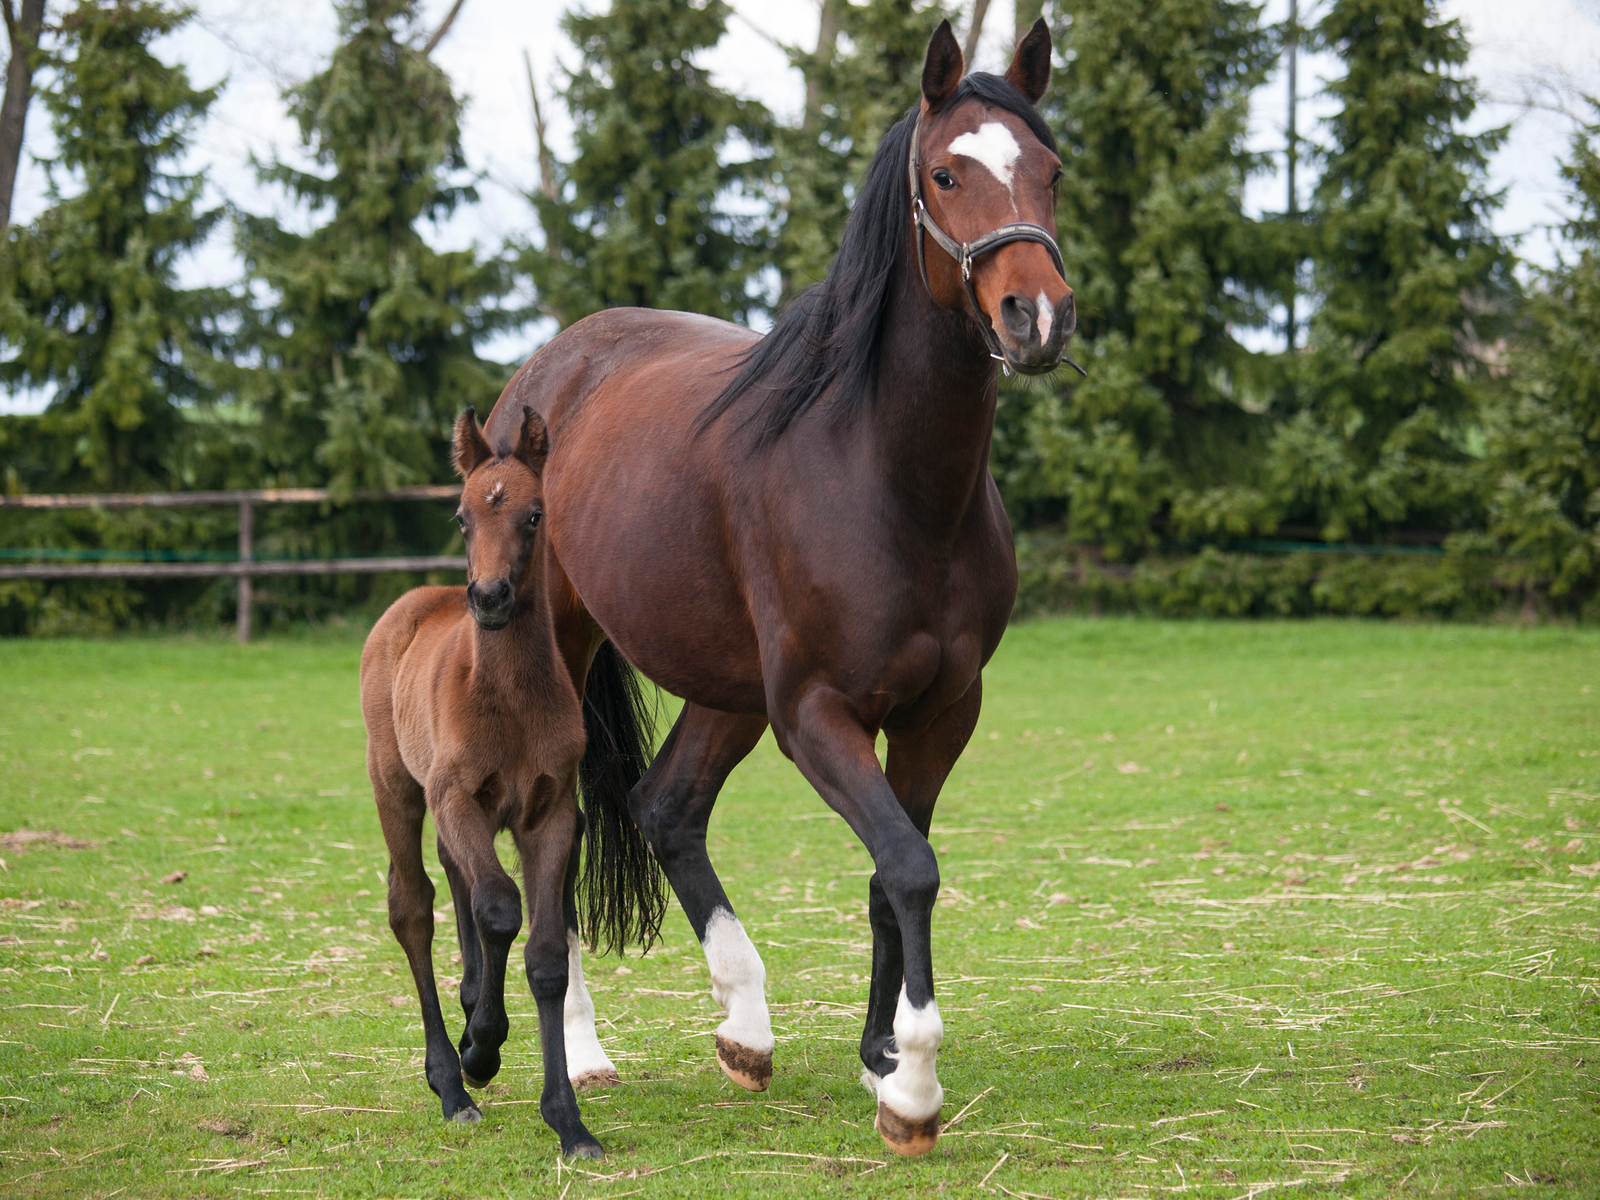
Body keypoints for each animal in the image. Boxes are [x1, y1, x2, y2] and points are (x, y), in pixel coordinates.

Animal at [363, 409, 604, 1158]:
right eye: (462, 516)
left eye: (534, 514)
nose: (490, 598)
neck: (509, 699)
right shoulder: (455, 799)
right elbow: (498, 908)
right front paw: (482, 1048)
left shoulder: (550, 814)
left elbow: (547, 954)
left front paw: (568, 1122)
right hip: (396, 788)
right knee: (413, 905)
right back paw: (452, 1080)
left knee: (455, 881)